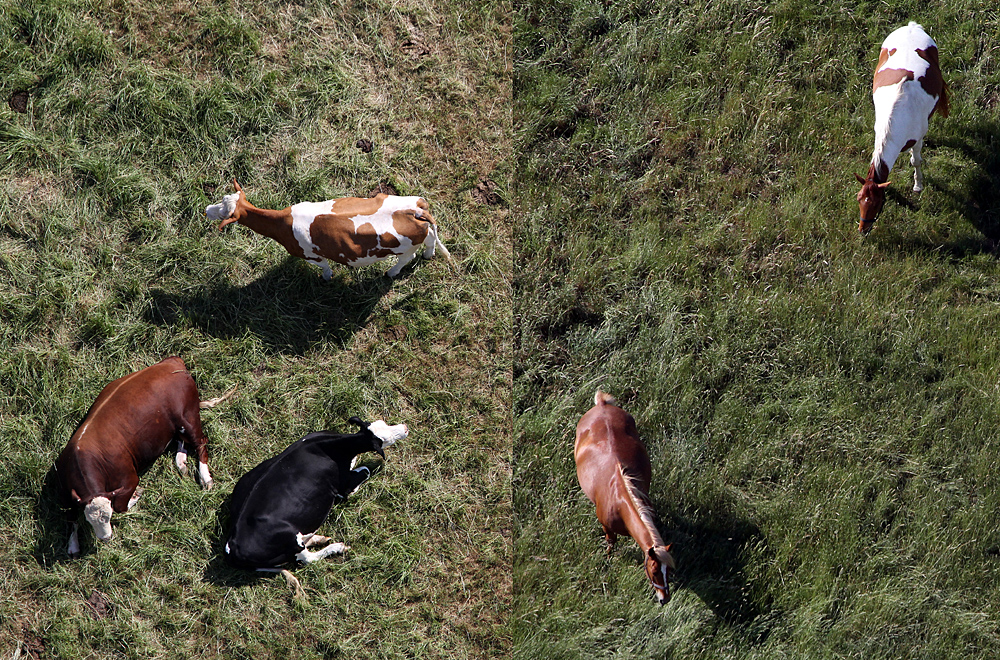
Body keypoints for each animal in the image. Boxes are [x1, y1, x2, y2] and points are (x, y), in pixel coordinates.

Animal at [55, 358, 233, 556]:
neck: (82, 456)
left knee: (201, 442)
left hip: (188, 416)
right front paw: (73, 545)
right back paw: (181, 462)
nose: (105, 537)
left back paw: (205, 477)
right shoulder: (65, 492)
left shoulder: (130, 479)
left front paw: (136, 496)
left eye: (108, 516)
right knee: (182, 440)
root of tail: (173, 362)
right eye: (89, 520)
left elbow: (121, 506)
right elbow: (70, 518)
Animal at [207, 178, 454, 278]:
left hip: (404, 249)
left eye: (224, 214)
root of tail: (416, 210)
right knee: (430, 239)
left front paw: (327, 277)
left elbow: (325, 267)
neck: (283, 223)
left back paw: (391, 273)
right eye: (222, 199)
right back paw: (429, 255)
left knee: (406, 259)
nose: (207, 209)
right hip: (419, 223)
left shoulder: (311, 255)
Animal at [224, 420, 406, 576]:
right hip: (288, 539)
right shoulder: (343, 485)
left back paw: (319, 538)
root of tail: (233, 544)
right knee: (308, 559)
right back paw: (336, 547)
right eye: (385, 439)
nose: (404, 428)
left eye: (384, 422)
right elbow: (365, 471)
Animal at [576, 390, 676, 604]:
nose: (664, 599)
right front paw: (606, 561)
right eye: (655, 571)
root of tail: (602, 405)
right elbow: (610, 543)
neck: (620, 502)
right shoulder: (606, 526)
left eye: (669, 571)